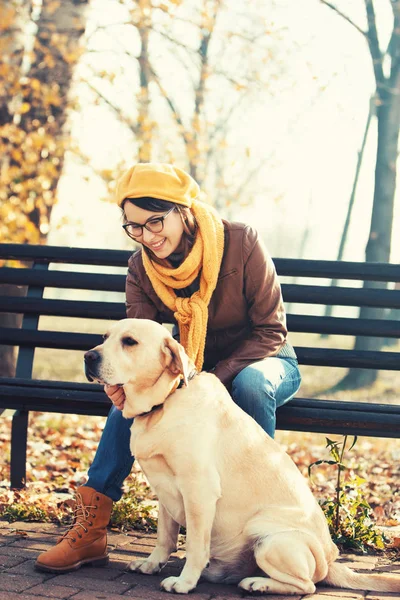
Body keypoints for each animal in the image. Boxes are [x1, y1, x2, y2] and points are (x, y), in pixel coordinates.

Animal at [83, 318, 398, 596]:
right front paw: (152, 564)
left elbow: (195, 544)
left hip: (267, 540)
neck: (166, 401)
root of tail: (332, 560)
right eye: (104, 337)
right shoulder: (165, 490)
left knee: (307, 585)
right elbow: (165, 536)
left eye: (129, 341)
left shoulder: (199, 490)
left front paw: (184, 582)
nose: (88, 356)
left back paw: (257, 584)